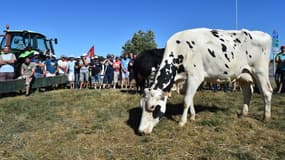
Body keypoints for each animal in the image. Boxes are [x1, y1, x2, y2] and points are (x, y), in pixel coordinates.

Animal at [139, 28, 272, 134]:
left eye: (152, 107)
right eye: (141, 106)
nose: (141, 131)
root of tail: (264, 34)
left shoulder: (195, 76)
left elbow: (186, 100)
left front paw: (182, 122)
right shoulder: (186, 80)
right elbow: (190, 98)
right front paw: (192, 116)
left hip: (260, 72)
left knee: (267, 92)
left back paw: (266, 117)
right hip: (243, 75)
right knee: (247, 92)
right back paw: (243, 114)